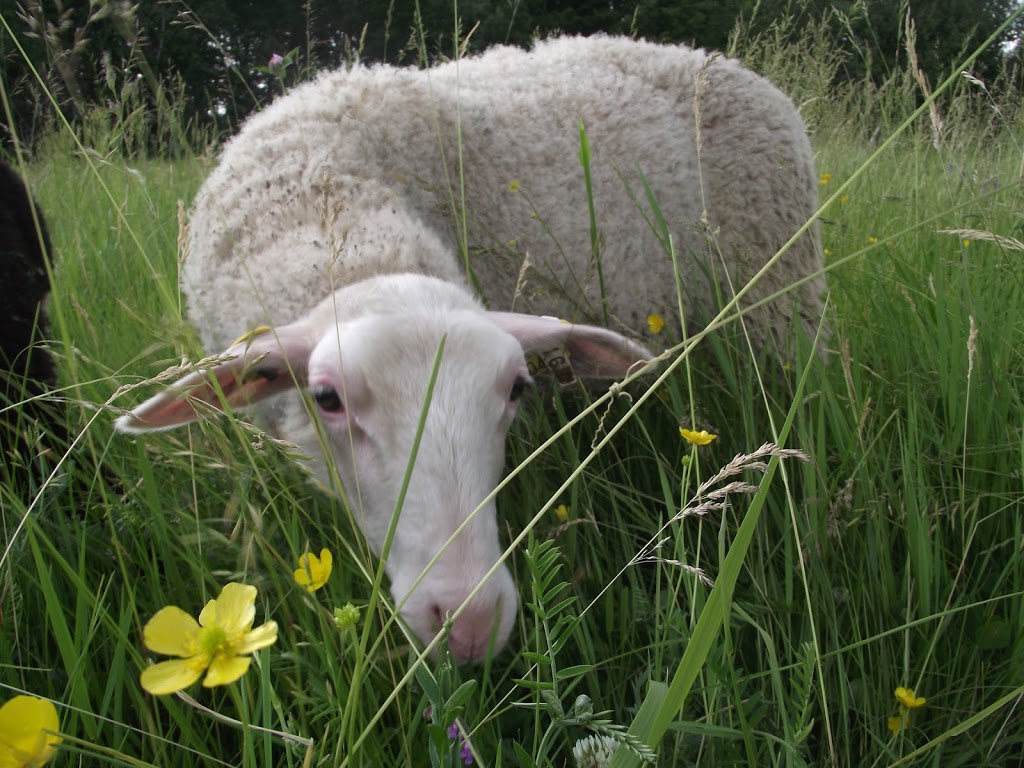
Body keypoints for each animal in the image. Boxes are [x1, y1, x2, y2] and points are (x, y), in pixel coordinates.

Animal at [116, 34, 827, 663]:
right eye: (326, 398)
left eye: (516, 389)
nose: (470, 623)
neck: (327, 205)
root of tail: (727, 63)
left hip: (785, 305)